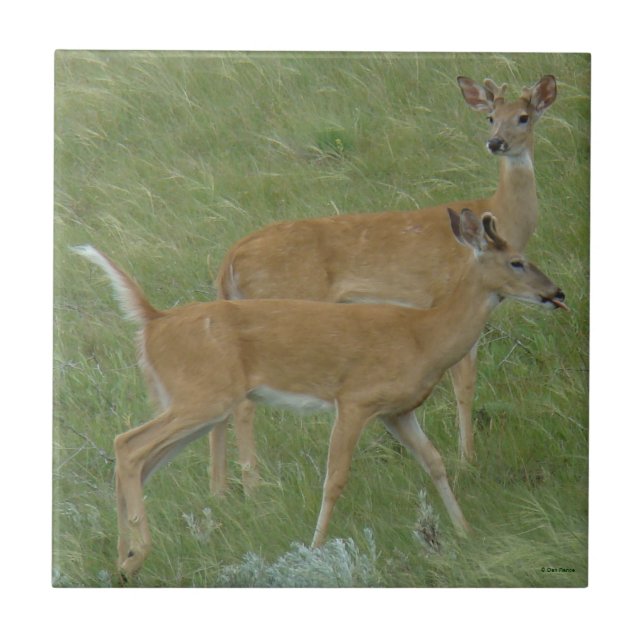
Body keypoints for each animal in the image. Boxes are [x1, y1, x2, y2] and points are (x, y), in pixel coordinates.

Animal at [74, 207, 567, 577]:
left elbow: (436, 463)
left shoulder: (398, 411)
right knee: (128, 445)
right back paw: (136, 556)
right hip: (203, 396)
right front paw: (315, 547)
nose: (557, 292)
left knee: (136, 457)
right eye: (517, 261)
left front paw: (464, 531)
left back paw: (123, 559)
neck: (423, 336)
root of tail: (154, 320)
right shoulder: (355, 399)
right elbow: (335, 478)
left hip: (195, 404)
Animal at [210, 74, 558, 495]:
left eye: (523, 116)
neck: (501, 214)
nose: (496, 142)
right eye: (491, 117)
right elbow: (465, 383)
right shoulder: (447, 294)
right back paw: (253, 487)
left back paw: (221, 492)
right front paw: (468, 459)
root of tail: (230, 259)